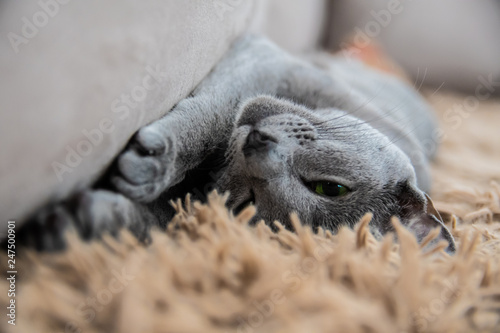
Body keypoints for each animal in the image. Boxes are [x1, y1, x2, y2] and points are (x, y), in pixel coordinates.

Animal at [15, 34, 456, 252]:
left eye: (248, 204)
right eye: (331, 187)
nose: (257, 144)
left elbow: (157, 224)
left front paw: (78, 224)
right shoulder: (267, 64)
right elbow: (217, 112)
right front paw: (155, 163)